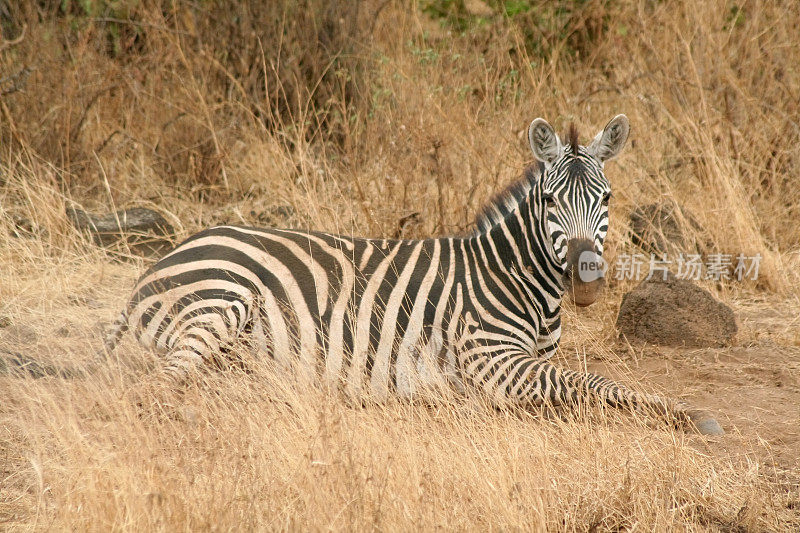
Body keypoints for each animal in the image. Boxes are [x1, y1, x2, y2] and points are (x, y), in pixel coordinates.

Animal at [94, 115, 720, 432]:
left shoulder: (528, 359)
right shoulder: (493, 362)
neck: (516, 279)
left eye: (606, 197)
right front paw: (686, 414)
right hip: (218, 301)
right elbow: (593, 385)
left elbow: (586, 382)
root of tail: (161, 261)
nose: (588, 282)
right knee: (157, 389)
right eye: (549, 201)